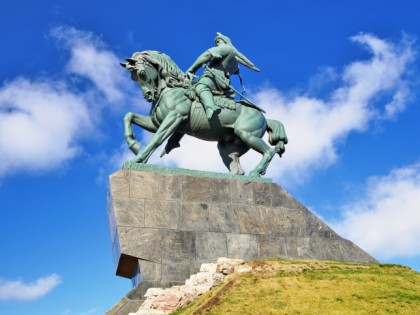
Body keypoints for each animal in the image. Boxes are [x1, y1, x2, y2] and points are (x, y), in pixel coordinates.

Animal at [120, 50, 288, 177]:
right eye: (132, 77)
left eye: (142, 73)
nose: (148, 95)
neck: (171, 88)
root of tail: (265, 118)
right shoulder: (156, 122)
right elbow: (129, 116)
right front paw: (134, 145)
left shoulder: (174, 117)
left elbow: (156, 139)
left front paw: (138, 158)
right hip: (228, 146)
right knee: (237, 167)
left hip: (248, 135)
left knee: (269, 151)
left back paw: (256, 172)